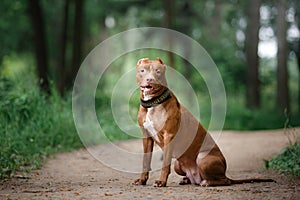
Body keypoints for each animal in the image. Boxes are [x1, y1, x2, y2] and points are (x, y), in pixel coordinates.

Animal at [134, 57, 274, 188]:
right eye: (143, 71)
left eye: (158, 71)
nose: (150, 79)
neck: (152, 103)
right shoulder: (146, 136)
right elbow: (145, 161)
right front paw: (142, 180)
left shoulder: (169, 135)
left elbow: (164, 165)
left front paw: (161, 182)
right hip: (178, 165)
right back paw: (186, 180)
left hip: (202, 158)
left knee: (224, 181)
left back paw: (207, 182)